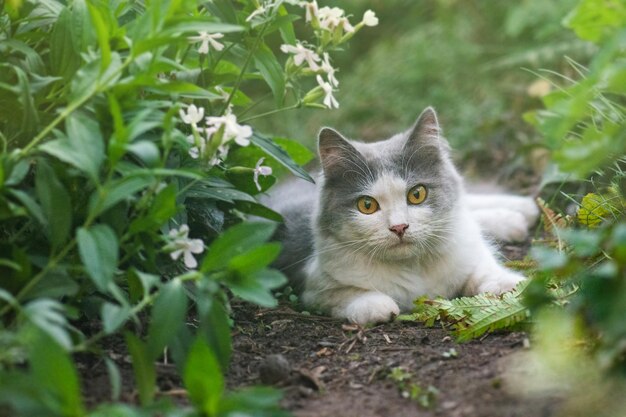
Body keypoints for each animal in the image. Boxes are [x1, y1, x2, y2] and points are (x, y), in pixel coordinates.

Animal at [264, 107, 536, 324]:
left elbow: (485, 272)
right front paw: (377, 306)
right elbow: (346, 294)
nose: (399, 227)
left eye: (417, 194)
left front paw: (510, 285)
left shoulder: (469, 254)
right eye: (367, 205)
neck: (414, 268)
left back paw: (522, 211)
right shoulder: (314, 284)